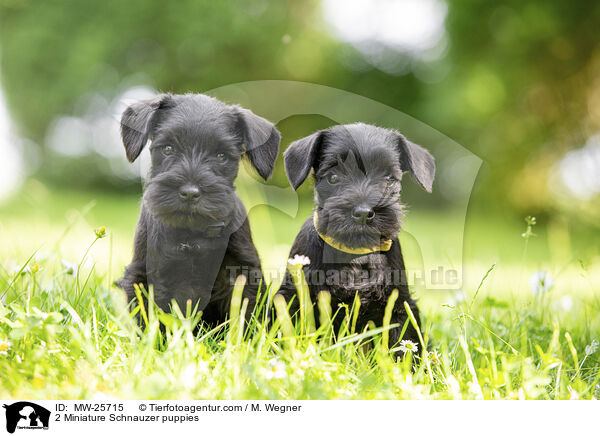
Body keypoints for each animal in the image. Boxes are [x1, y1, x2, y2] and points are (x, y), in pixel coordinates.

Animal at [116, 93, 280, 326]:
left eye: (221, 156)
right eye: (168, 149)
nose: (190, 193)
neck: (191, 231)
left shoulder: (243, 272)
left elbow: (246, 314)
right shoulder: (144, 274)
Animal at [274, 122, 434, 350]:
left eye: (388, 178)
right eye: (333, 177)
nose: (363, 213)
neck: (355, 254)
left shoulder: (398, 303)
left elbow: (403, 342)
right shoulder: (293, 296)